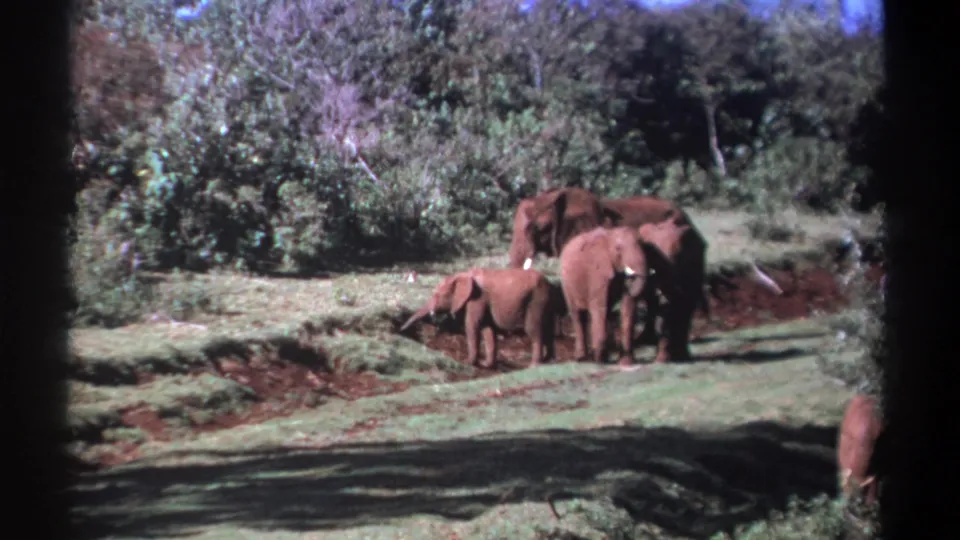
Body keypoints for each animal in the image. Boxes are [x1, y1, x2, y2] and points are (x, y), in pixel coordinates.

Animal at [399, 267, 557, 368]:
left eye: (437, 295)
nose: (401, 331)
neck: (462, 276)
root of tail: (549, 283)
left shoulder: (476, 299)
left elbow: (472, 326)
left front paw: (468, 362)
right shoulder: (482, 302)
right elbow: (488, 329)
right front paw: (486, 364)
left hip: (536, 300)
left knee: (533, 329)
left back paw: (534, 366)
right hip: (545, 301)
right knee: (548, 329)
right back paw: (549, 361)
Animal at [558, 226, 651, 366]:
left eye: (643, 245)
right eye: (618, 248)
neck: (610, 236)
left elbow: (628, 306)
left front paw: (626, 362)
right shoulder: (597, 270)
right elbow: (599, 307)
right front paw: (599, 360)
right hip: (567, 284)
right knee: (578, 314)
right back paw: (582, 358)